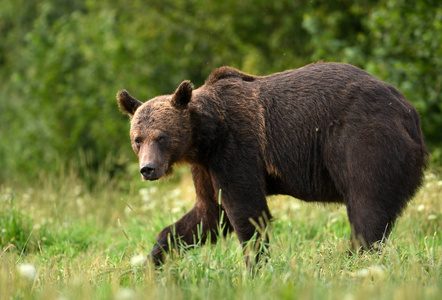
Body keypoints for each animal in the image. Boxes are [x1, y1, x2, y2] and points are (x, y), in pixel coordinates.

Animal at [117, 62, 428, 266]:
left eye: (161, 136)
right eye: (137, 139)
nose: (148, 169)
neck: (204, 136)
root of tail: (409, 112)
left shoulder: (236, 149)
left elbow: (248, 213)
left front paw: (255, 266)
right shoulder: (205, 167)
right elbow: (209, 214)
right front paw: (152, 260)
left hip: (365, 140)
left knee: (367, 205)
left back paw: (353, 259)